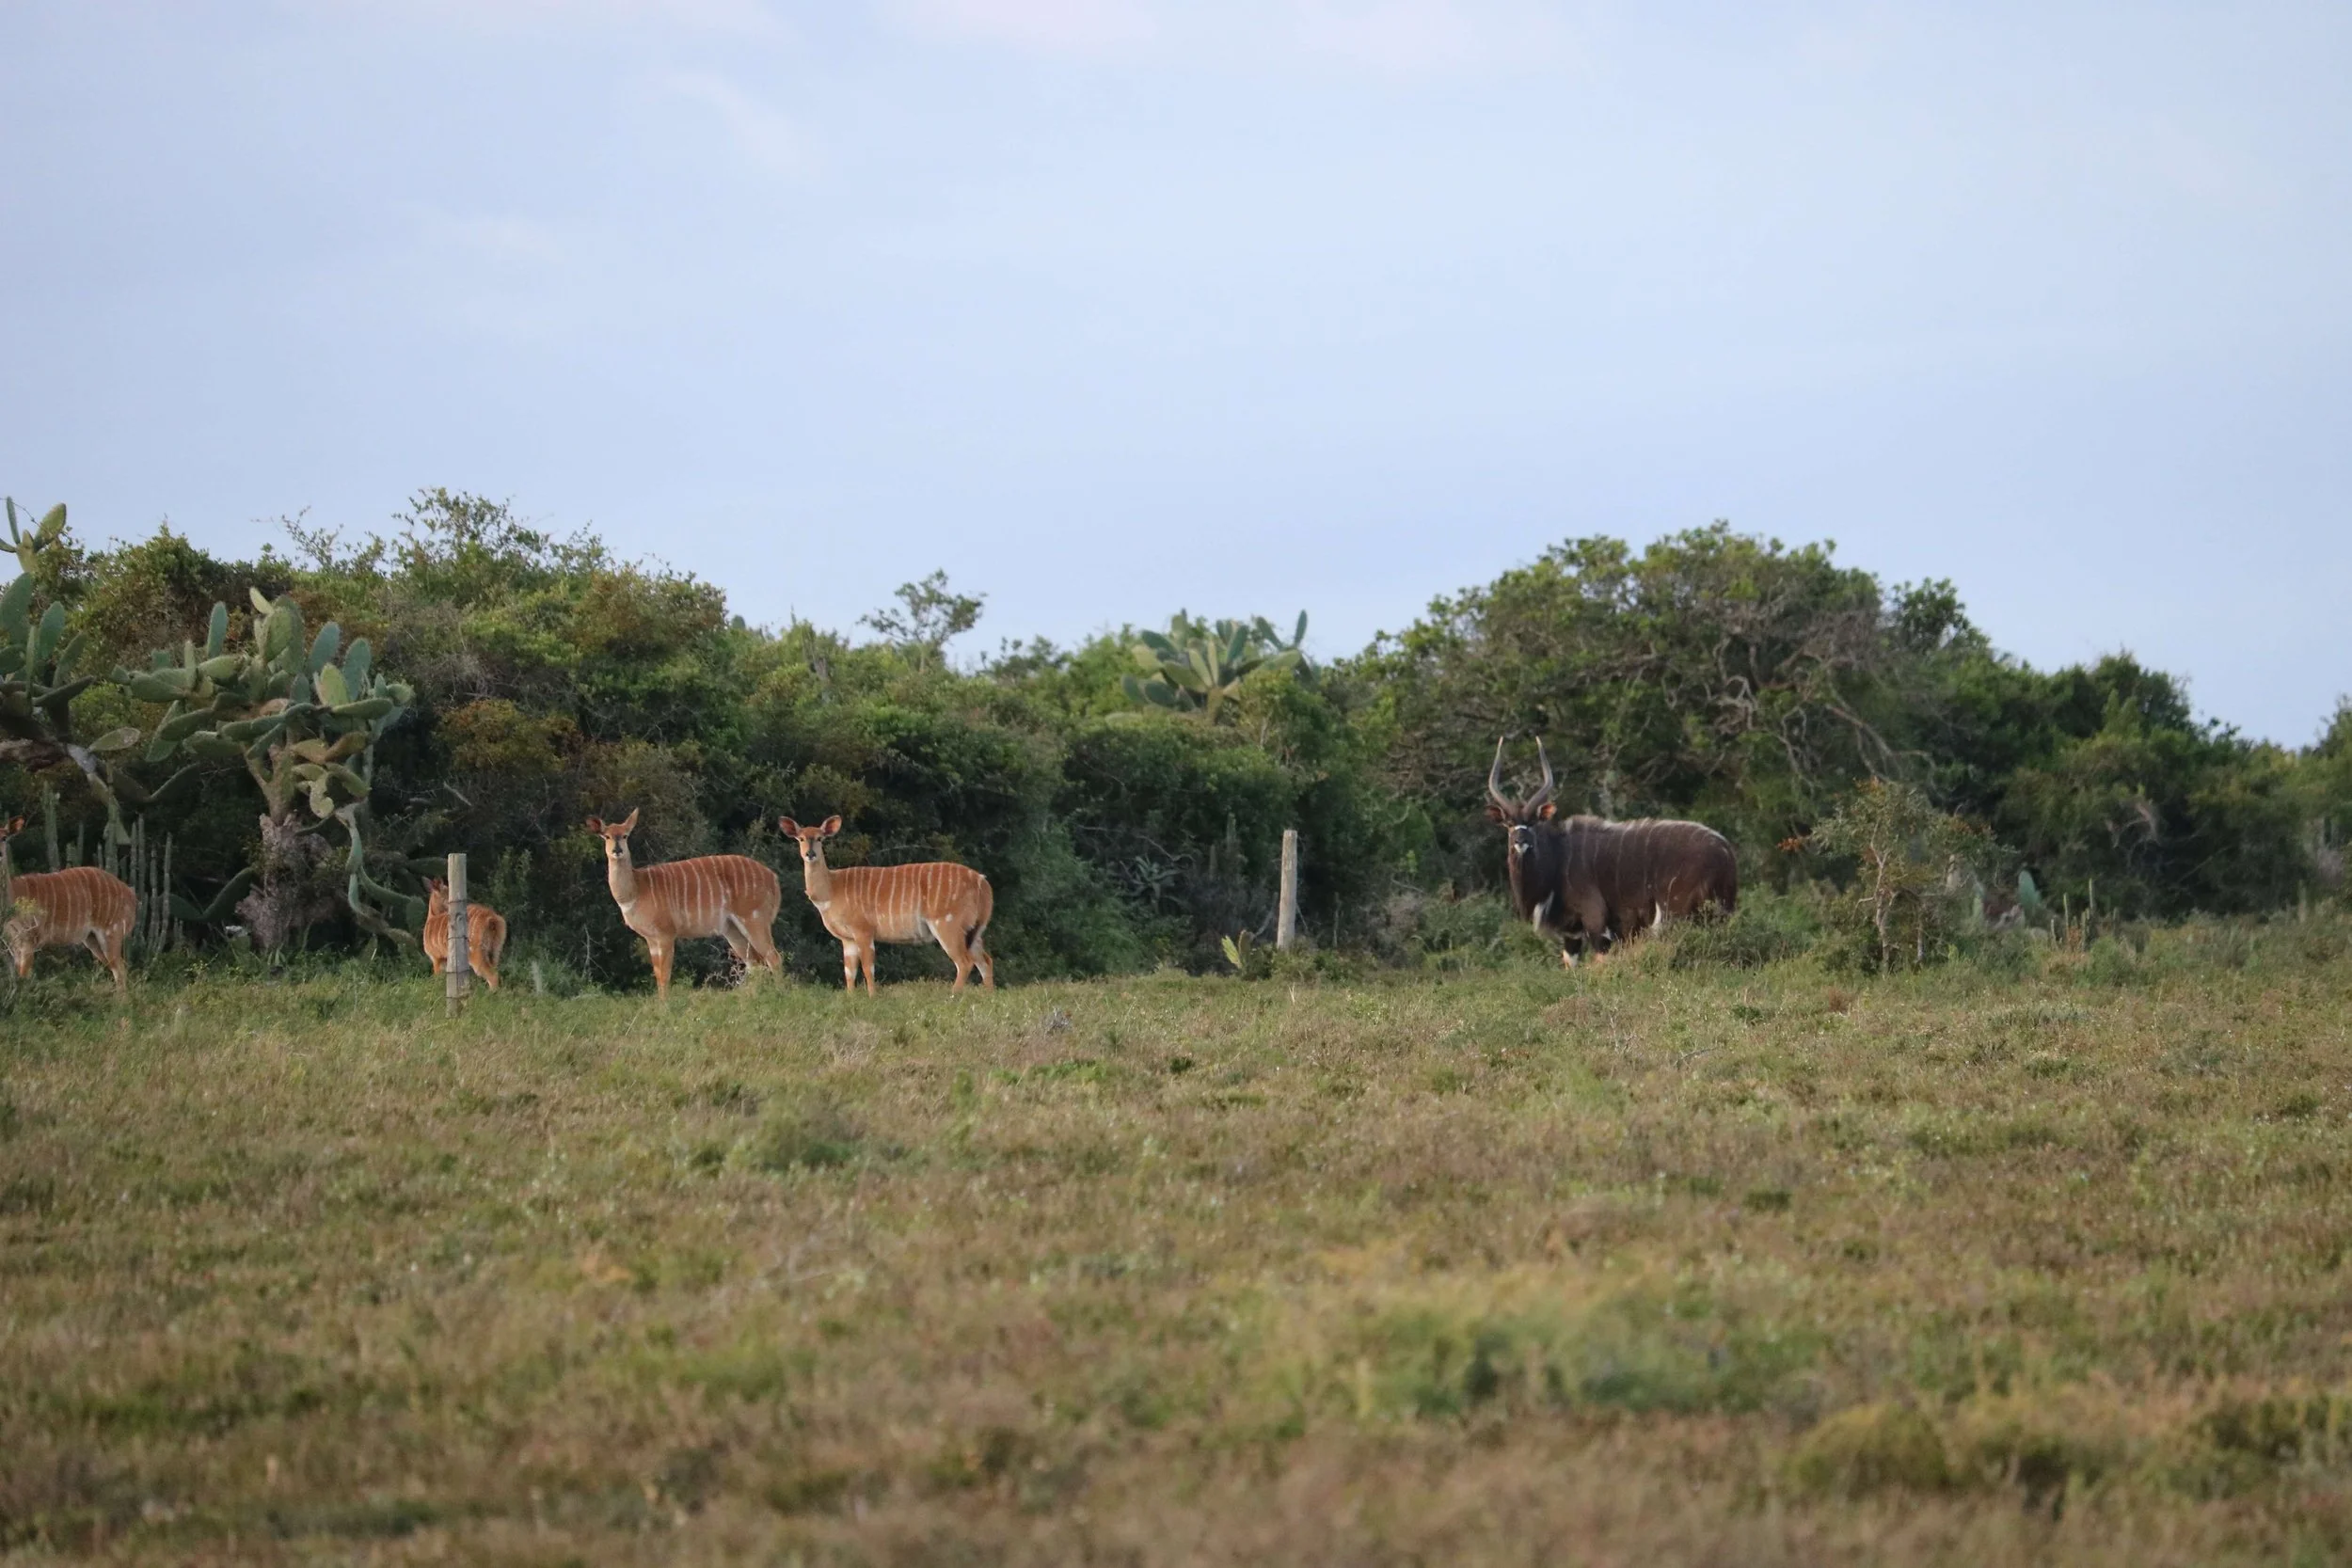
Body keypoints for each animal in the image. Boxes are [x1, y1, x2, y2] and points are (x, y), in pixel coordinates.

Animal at [0, 815, 137, 993]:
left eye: (4, 837)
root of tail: (131, 894)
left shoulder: (28, 941)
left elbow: (24, 979)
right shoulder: (8, 947)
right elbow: (13, 981)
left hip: (111, 933)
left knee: (120, 969)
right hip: (92, 940)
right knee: (118, 967)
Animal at [587, 809, 784, 997]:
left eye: (625, 835)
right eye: (606, 836)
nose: (617, 851)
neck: (637, 890)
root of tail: (773, 878)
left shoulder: (666, 933)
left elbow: (665, 975)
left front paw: (665, 1006)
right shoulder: (651, 938)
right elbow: (657, 974)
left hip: (754, 919)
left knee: (774, 957)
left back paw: (780, 994)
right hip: (732, 930)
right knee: (756, 963)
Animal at [778, 815, 995, 996]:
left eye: (820, 838)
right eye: (800, 838)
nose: (810, 854)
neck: (832, 889)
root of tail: (982, 883)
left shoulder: (863, 930)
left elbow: (868, 967)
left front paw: (872, 997)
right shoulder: (847, 939)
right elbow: (849, 971)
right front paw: (850, 997)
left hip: (948, 925)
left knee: (964, 962)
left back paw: (952, 996)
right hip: (973, 931)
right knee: (985, 960)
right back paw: (988, 996)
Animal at [1487, 737, 1738, 967]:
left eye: (1532, 823)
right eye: (1509, 824)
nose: (1520, 841)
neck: (1558, 859)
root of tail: (1725, 851)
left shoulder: (1596, 922)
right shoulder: (1572, 933)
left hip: (1674, 913)